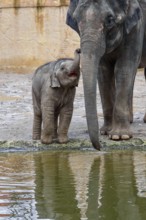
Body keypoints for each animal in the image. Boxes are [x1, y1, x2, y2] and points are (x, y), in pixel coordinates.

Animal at [66, 0, 146, 150]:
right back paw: (130, 120)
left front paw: (120, 137)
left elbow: (124, 68)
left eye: (110, 20)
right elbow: (103, 71)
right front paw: (106, 132)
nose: (99, 148)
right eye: (76, 19)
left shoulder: (137, 28)